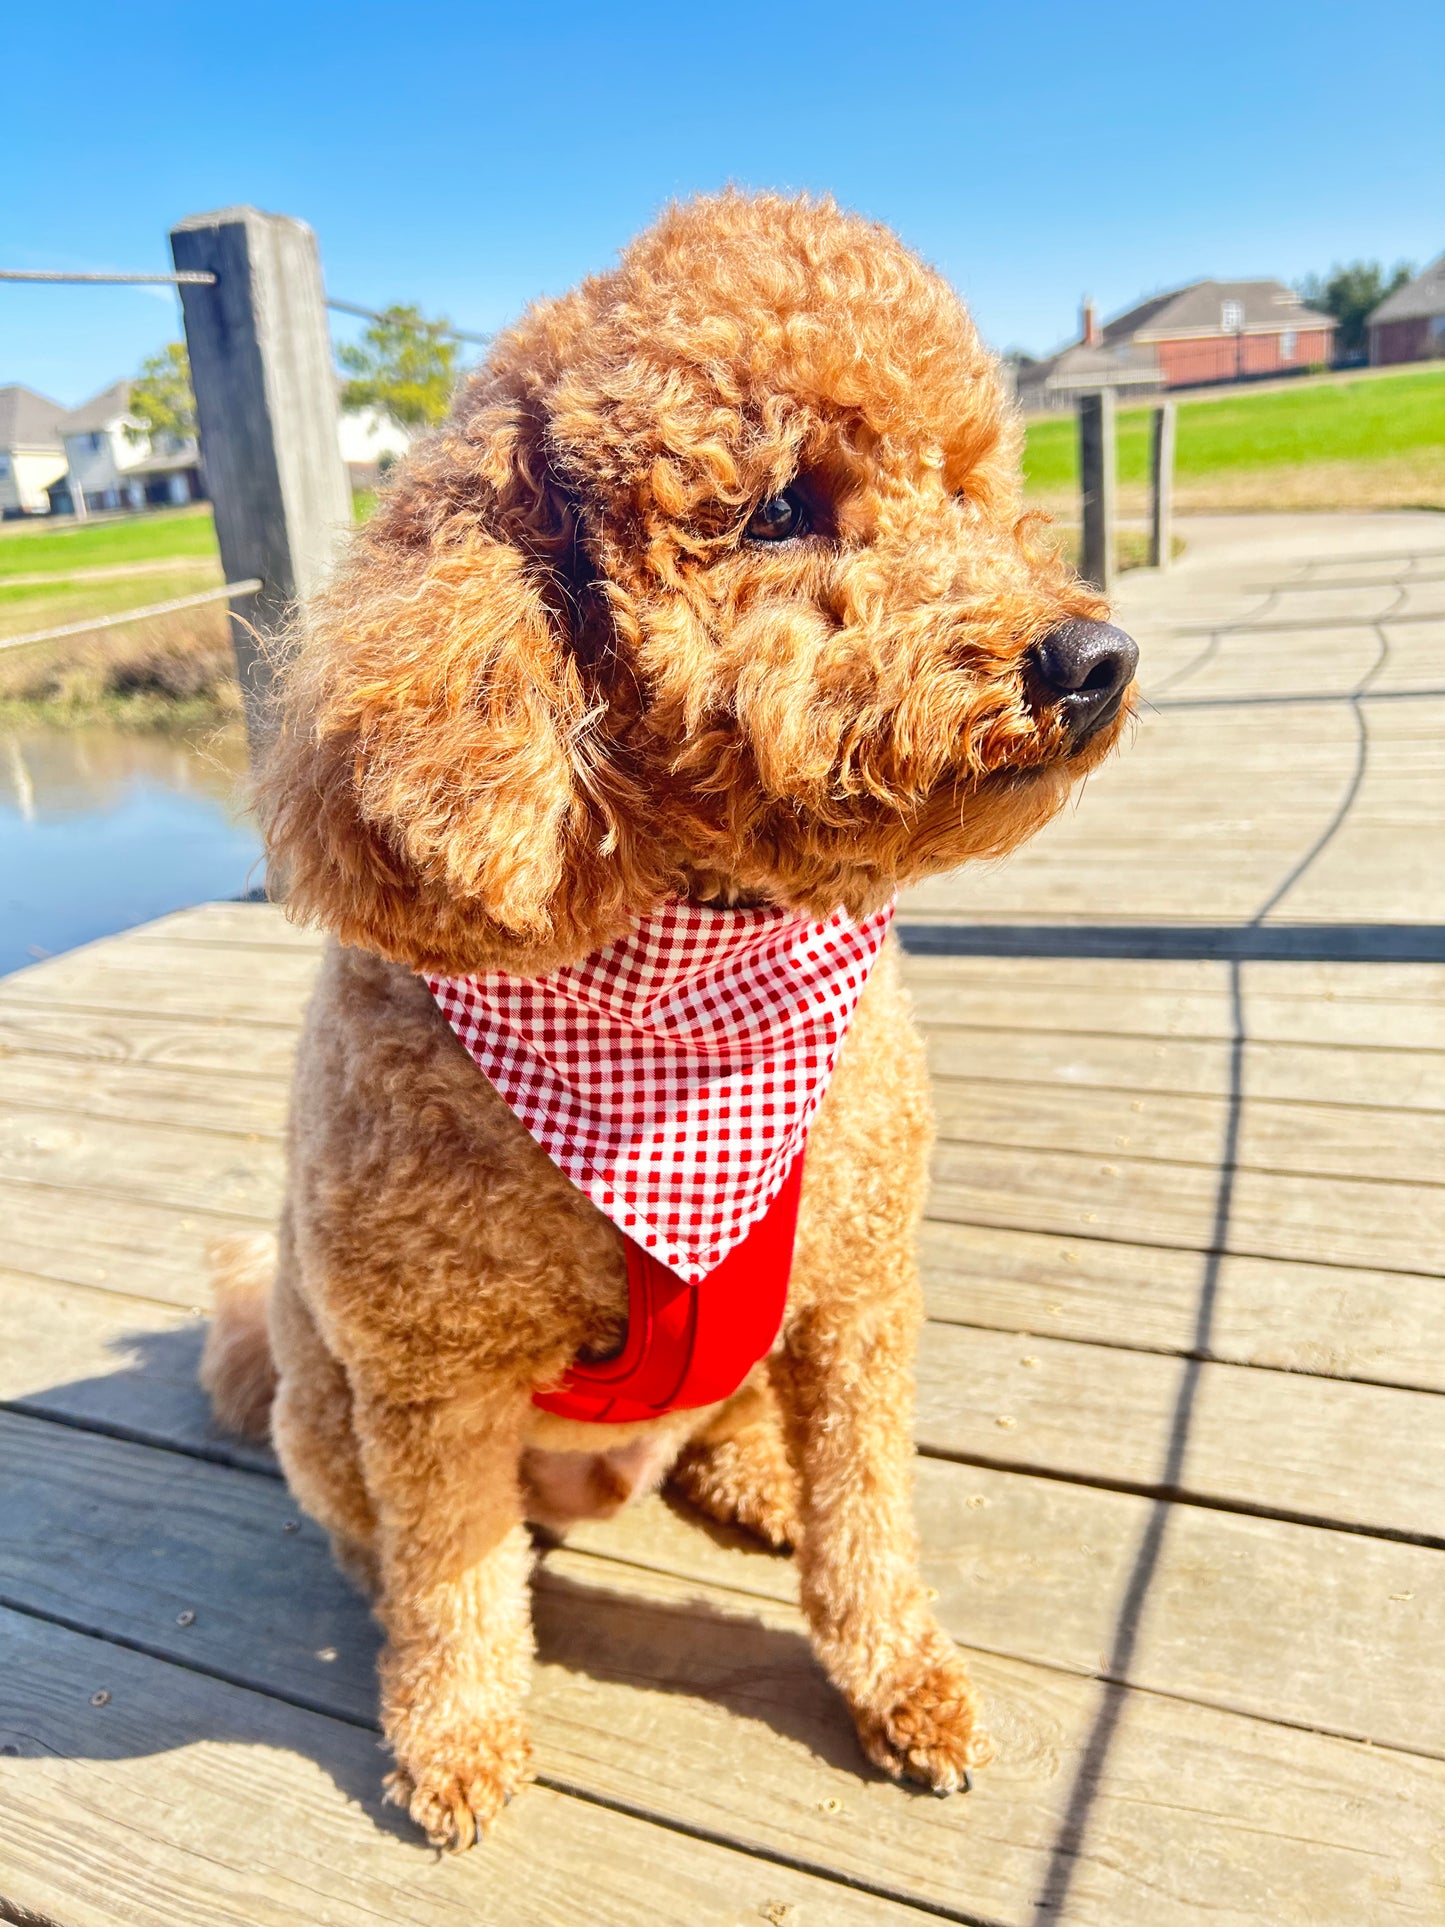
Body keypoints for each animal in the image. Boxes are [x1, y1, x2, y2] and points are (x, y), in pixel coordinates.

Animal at [198, 187, 1140, 1842]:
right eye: (779, 508)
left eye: (971, 488)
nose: (1092, 659)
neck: (695, 973)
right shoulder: (430, 1375)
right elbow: (454, 1585)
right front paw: (456, 1740)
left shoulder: (857, 1293)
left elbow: (868, 1518)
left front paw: (901, 1680)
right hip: (327, 1401)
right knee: (390, 1541)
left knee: (738, 1431)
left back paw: (754, 1478)